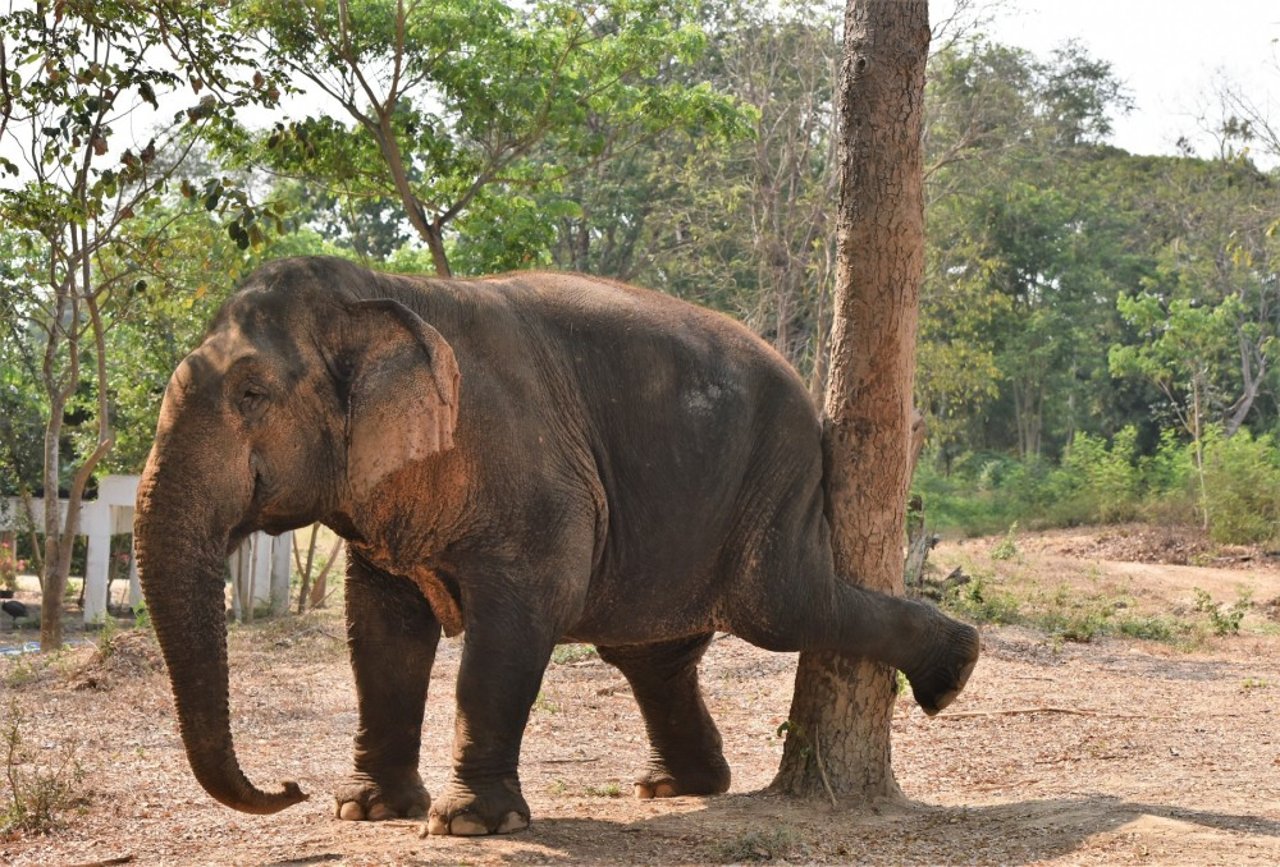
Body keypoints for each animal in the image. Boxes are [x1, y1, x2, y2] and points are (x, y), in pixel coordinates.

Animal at [135, 253, 977, 834]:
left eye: (251, 394)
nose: (288, 788)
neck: (384, 287)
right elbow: (380, 634)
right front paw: (366, 810)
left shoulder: (538, 486)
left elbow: (516, 622)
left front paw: (468, 823)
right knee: (651, 654)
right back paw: (676, 788)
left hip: (776, 471)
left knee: (779, 609)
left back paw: (954, 670)